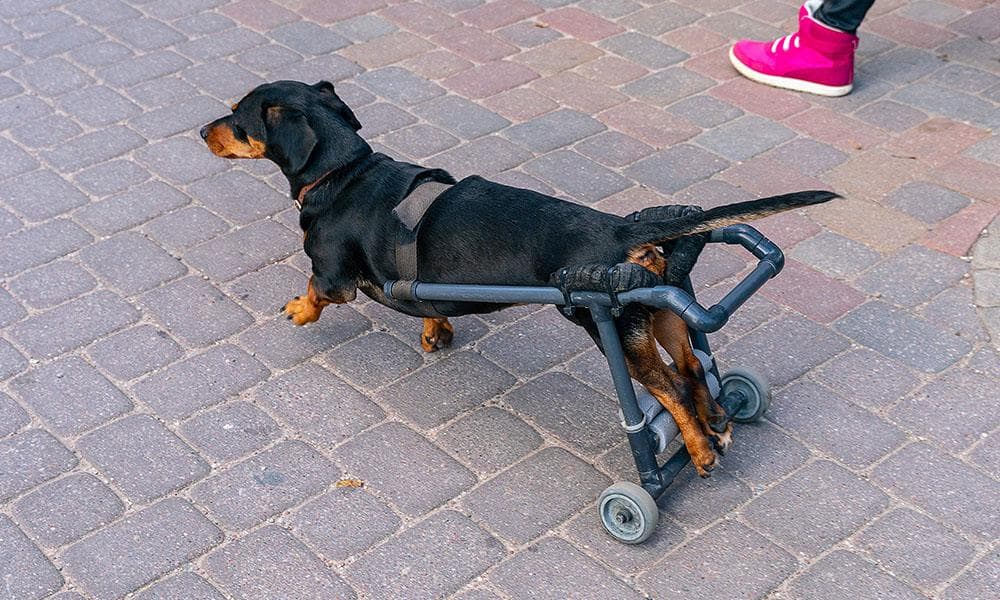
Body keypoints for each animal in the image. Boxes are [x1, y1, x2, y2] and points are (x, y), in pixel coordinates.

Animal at [201, 79, 836, 476]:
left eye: (237, 116)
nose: (201, 131)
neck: (344, 172)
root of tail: (620, 230)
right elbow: (430, 307)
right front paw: (435, 331)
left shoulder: (333, 275)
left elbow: (315, 289)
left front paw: (298, 311)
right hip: (659, 312)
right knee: (694, 369)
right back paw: (718, 424)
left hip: (612, 328)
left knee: (671, 388)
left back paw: (700, 454)